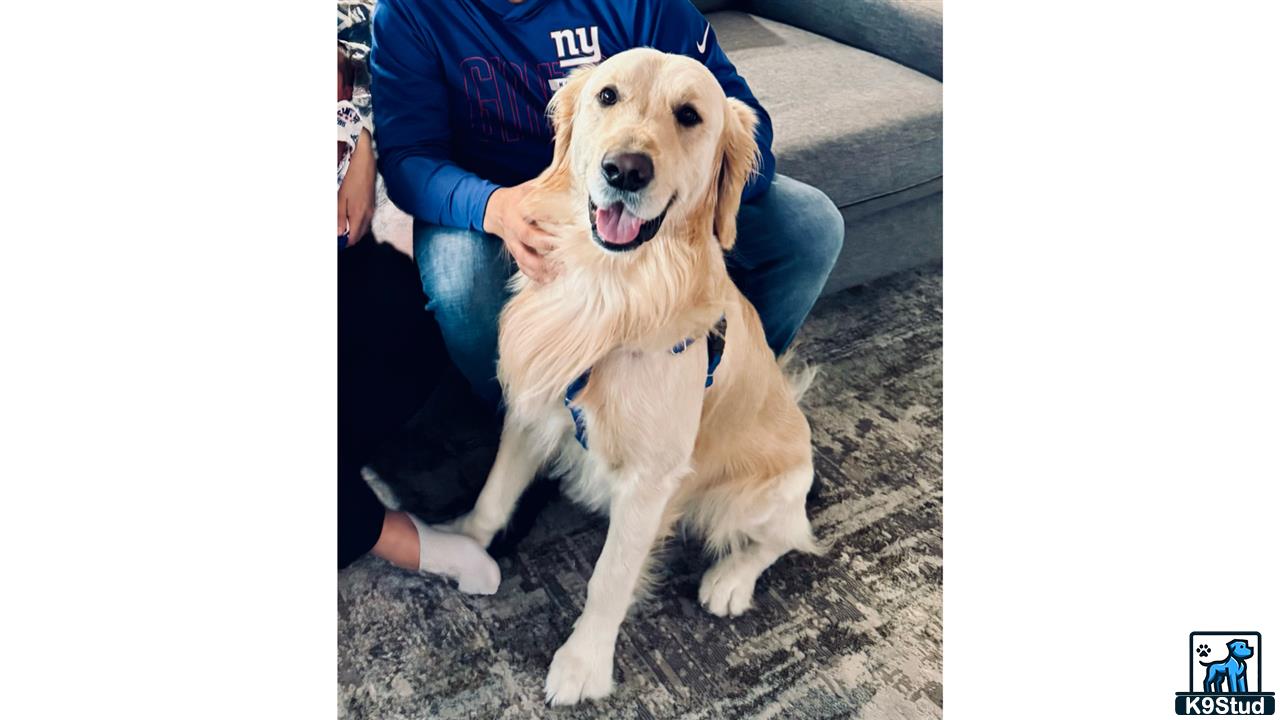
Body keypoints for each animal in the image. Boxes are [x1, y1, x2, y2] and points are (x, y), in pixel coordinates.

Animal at [445, 47, 814, 702]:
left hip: (748, 494)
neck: (609, 287)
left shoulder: (650, 480)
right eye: (607, 96)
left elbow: (610, 578)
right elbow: (493, 496)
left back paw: (730, 580)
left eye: (689, 114)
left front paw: (582, 664)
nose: (624, 170)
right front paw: (460, 544)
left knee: (788, 535)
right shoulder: (533, 407)